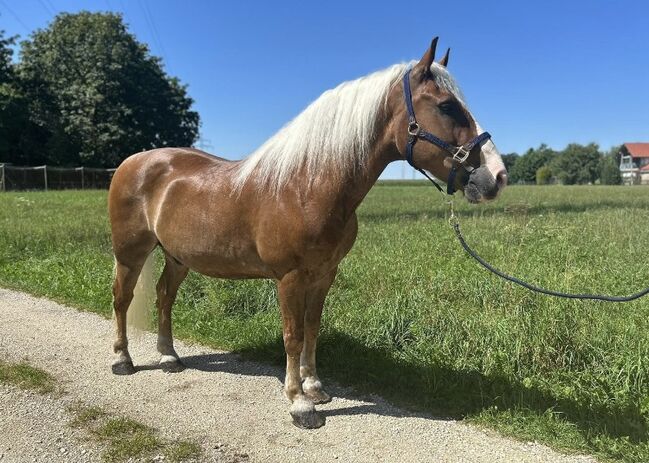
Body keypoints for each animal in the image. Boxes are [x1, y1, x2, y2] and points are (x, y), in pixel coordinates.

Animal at [109, 38, 508, 430]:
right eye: (447, 106)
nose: (497, 176)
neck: (306, 186)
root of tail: (132, 162)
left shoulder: (324, 274)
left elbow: (312, 329)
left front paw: (314, 388)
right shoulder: (289, 277)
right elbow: (293, 335)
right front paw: (299, 403)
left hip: (177, 257)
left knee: (164, 296)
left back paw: (169, 357)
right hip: (130, 253)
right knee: (122, 298)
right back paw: (123, 360)